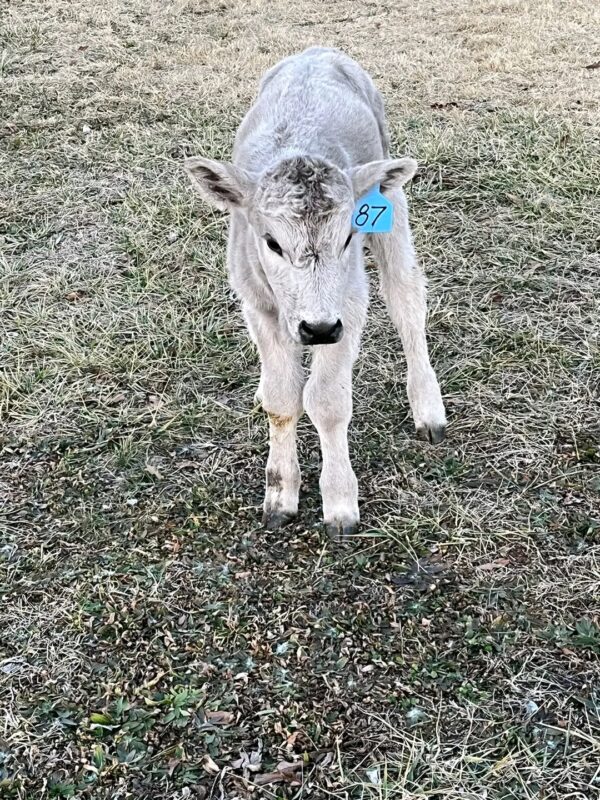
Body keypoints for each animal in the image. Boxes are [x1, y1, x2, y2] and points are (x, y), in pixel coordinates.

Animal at [185, 47, 446, 540]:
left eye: (347, 238)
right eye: (271, 242)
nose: (318, 328)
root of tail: (319, 51)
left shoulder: (350, 302)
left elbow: (326, 401)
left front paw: (340, 504)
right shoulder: (256, 300)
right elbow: (282, 398)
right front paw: (279, 495)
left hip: (390, 197)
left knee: (406, 296)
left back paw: (428, 408)